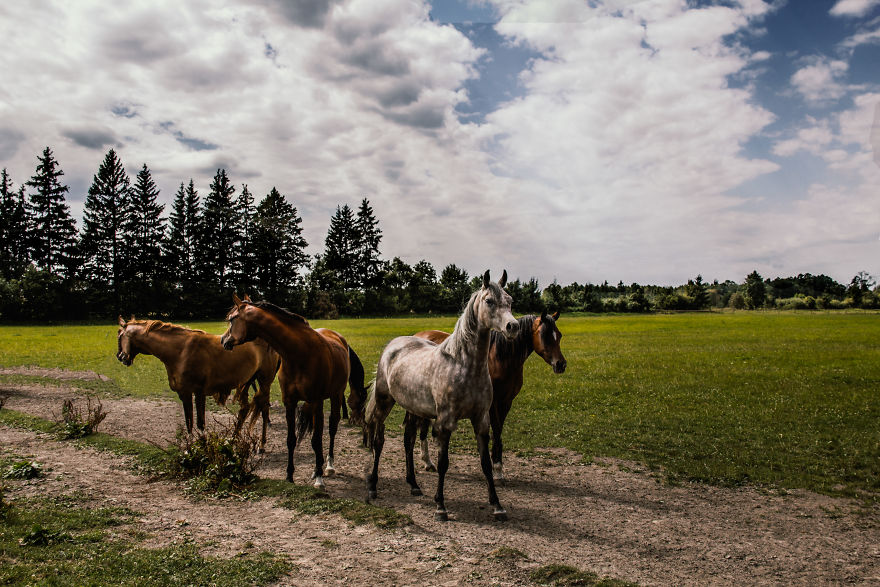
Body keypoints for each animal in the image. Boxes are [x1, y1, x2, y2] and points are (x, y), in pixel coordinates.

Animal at [114, 316, 278, 450]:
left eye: (119, 335)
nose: (121, 357)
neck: (180, 351)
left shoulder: (199, 392)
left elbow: (200, 423)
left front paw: (201, 447)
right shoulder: (184, 393)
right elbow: (189, 423)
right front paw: (191, 448)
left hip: (264, 381)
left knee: (264, 409)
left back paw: (262, 445)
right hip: (246, 382)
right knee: (245, 409)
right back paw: (233, 440)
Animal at [223, 296, 372, 490]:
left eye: (232, 319)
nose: (223, 340)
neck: (299, 353)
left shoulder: (316, 401)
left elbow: (316, 440)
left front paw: (319, 478)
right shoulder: (290, 402)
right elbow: (291, 439)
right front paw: (289, 475)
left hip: (335, 395)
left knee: (332, 428)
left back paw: (328, 466)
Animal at [362, 272, 520, 524]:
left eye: (510, 300)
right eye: (489, 301)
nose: (512, 326)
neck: (464, 366)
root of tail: (392, 346)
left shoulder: (481, 421)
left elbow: (485, 464)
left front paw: (497, 506)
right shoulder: (445, 423)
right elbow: (443, 463)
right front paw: (441, 507)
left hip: (413, 408)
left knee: (408, 441)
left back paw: (414, 485)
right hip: (384, 403)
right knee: (378, 441)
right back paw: (372, 486)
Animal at [414, 312, 568, 482]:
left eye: (559, 335)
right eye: (544, 336)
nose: (561, 364)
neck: (500, 359)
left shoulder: (506, 402)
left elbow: (498, 433)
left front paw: (498, 468)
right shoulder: (492, 404)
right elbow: (496, 431)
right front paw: (497, 468)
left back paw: (428, 462)